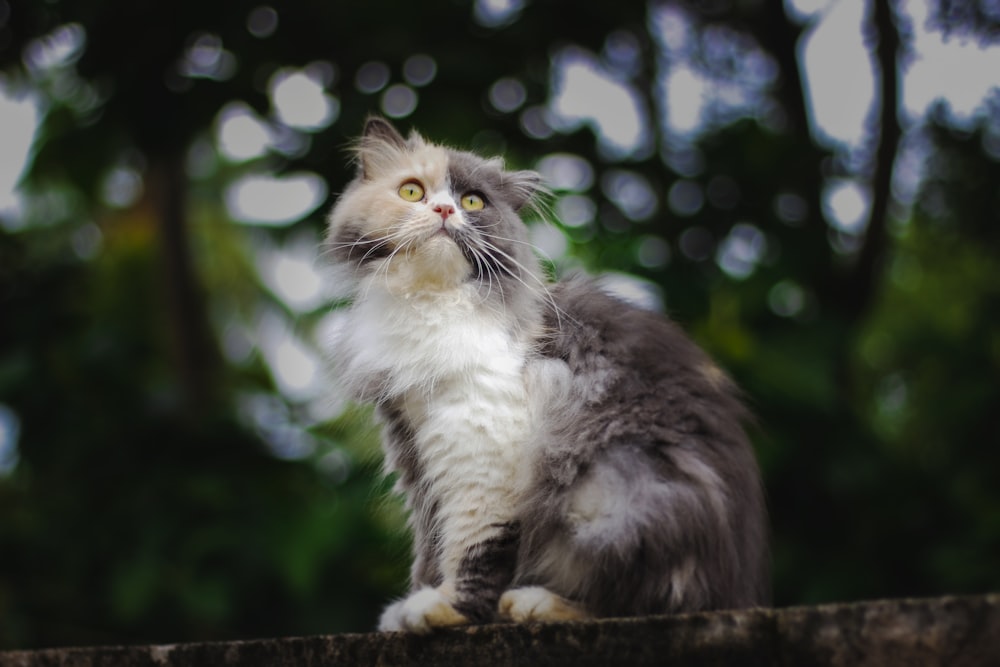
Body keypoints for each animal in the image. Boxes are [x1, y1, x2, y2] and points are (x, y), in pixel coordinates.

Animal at [324, 117, 768, 636]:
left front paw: (447, 610)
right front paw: (412, 605)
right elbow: (431, 545)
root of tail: (735, 584)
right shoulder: (418, 448)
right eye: (412, 191)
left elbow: (474, 546)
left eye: (473, 202)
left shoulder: (486, 450)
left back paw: (535, 603)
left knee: (642, 602)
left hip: (609, 497)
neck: (432, 304)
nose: (443, 209)